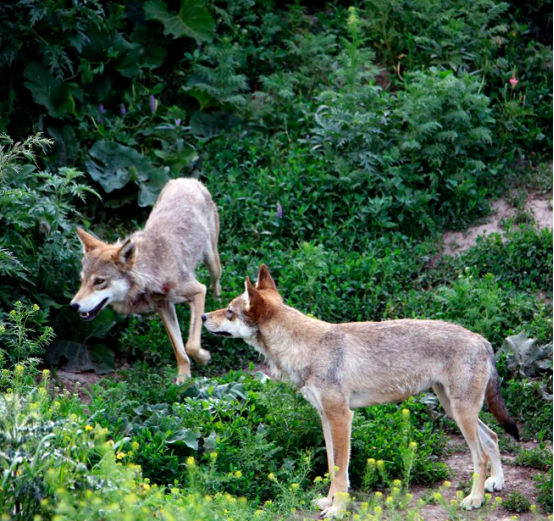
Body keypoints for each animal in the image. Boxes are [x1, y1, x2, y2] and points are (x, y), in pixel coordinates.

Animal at [70, 178, 222, 382]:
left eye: (99, 282)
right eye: (82, 280)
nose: (73, 306)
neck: (151, 273)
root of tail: (187, 180)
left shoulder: (198, 290)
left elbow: (191, 345)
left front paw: (204, 358)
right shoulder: (163, 306)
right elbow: (180, 351)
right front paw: (183, 379)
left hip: (213, 263)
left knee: (216, 284)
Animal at [202, 265, 520, 518]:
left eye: (229, 312)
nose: (203, 316)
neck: (307, 349)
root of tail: (481, 339)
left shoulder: (342, 417)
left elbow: (341, 471)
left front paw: (338, 510)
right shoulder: (326, 419)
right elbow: (333, 466)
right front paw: (328, 502)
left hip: (461, 413)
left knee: (480, 455)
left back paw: (475, 499)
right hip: (454, 410)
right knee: (493, 437)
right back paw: (496, 483)